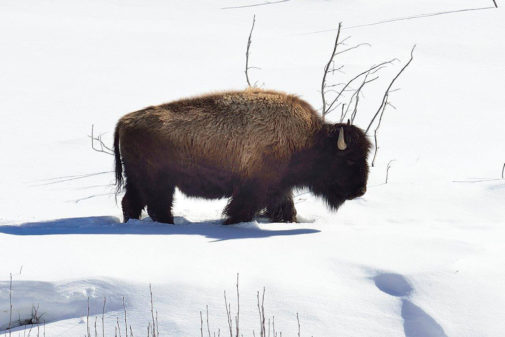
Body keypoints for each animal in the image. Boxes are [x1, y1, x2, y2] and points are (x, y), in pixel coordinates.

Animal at [113, 88, 370, 224]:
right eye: (349, 159)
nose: (360, 191)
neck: (308, 140)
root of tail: (124, 121)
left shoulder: (280, 187)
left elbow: (285, 208)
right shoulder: (254, 188)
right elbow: (241, 210)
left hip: (139, 181)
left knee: (132, 203)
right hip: (157, 182)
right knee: (156, 206)